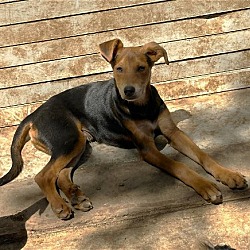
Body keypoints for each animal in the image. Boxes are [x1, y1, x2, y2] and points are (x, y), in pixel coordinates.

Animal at [0, 38, 247, 220]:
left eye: (142, 68)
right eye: (118, 69)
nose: (129, 91)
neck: (143, 107)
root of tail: (34, 113)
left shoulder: (173, 132)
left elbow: (203, 155)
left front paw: (228, 175)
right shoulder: (147, 149)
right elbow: (180, 166)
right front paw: (205, 186)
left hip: (81, 144)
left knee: (60, 174)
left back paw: (76, 198)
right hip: (68, 138)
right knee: (43, 176)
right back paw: (60, 205)